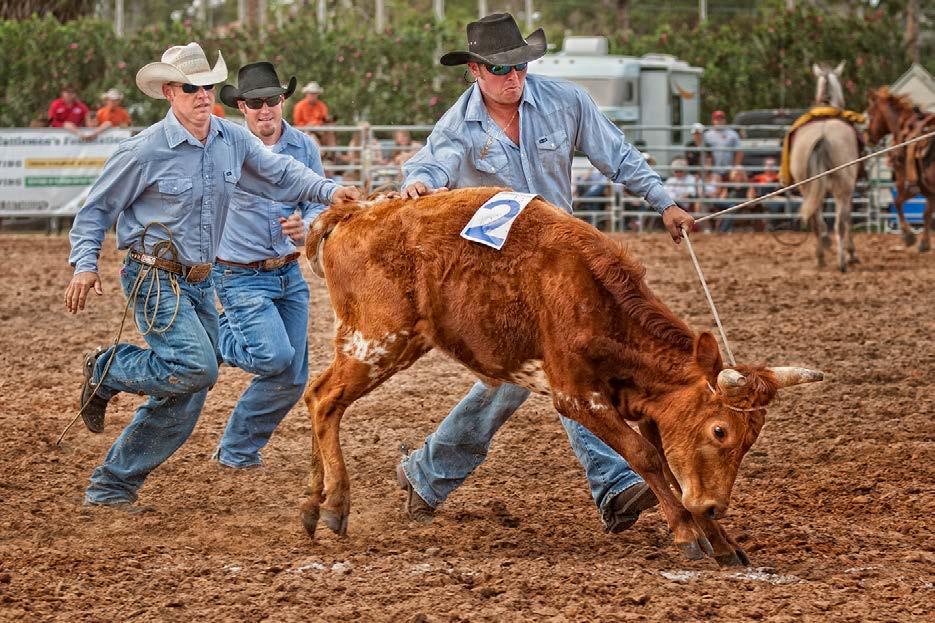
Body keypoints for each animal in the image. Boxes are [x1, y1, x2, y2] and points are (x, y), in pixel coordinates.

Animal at [304, 188, 824, 568]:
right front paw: (688, 533)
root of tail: (355, 212)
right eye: (720, 431)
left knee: (314, 396)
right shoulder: (576, 396)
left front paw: (720, 540)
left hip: (398, 342)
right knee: (325, 399)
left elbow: (667, 463)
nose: (716, 506)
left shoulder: (651, 407)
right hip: (376, 340)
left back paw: (313, 504)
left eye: (749, 441)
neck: (594, 296)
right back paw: (335, 506)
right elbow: (644, 457)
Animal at [788, 61, 860, 272]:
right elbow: (848, 219)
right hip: (843, 188)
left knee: (816, 222)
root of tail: (823, 135)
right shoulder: (849, 189)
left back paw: (820, 256)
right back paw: (842, 261)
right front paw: (852, 254)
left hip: (807, 187)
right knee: (840, 224)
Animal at [868, 86, 932, 255]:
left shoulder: (906, 183)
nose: (867, 136)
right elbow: (927, 213)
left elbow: (897, 203)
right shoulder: (929, 190)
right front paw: (925, 243)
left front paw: (909, 236)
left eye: (870, 114)